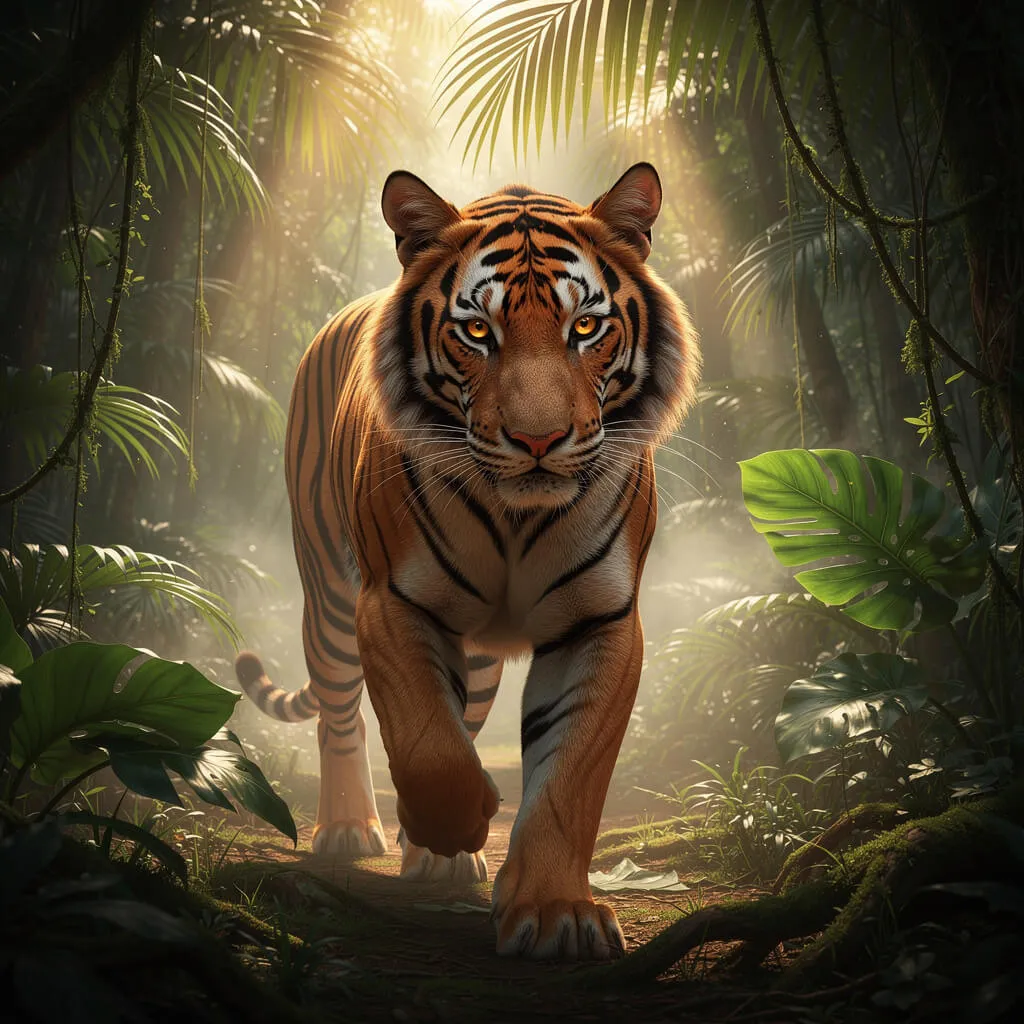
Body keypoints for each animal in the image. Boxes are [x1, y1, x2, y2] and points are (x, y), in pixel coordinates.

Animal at [235, 162, 700, 960]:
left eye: (585, 327)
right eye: (478, 331)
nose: (539, 440)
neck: (518, 517)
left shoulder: (602, 621)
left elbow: (570, 776)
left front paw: (554, 912)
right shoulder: (391, 602)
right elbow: (426, 742)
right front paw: (460, 820)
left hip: (474, 655)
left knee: (466, 712)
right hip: (327, 597)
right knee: (339, 714)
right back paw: (352, 829)